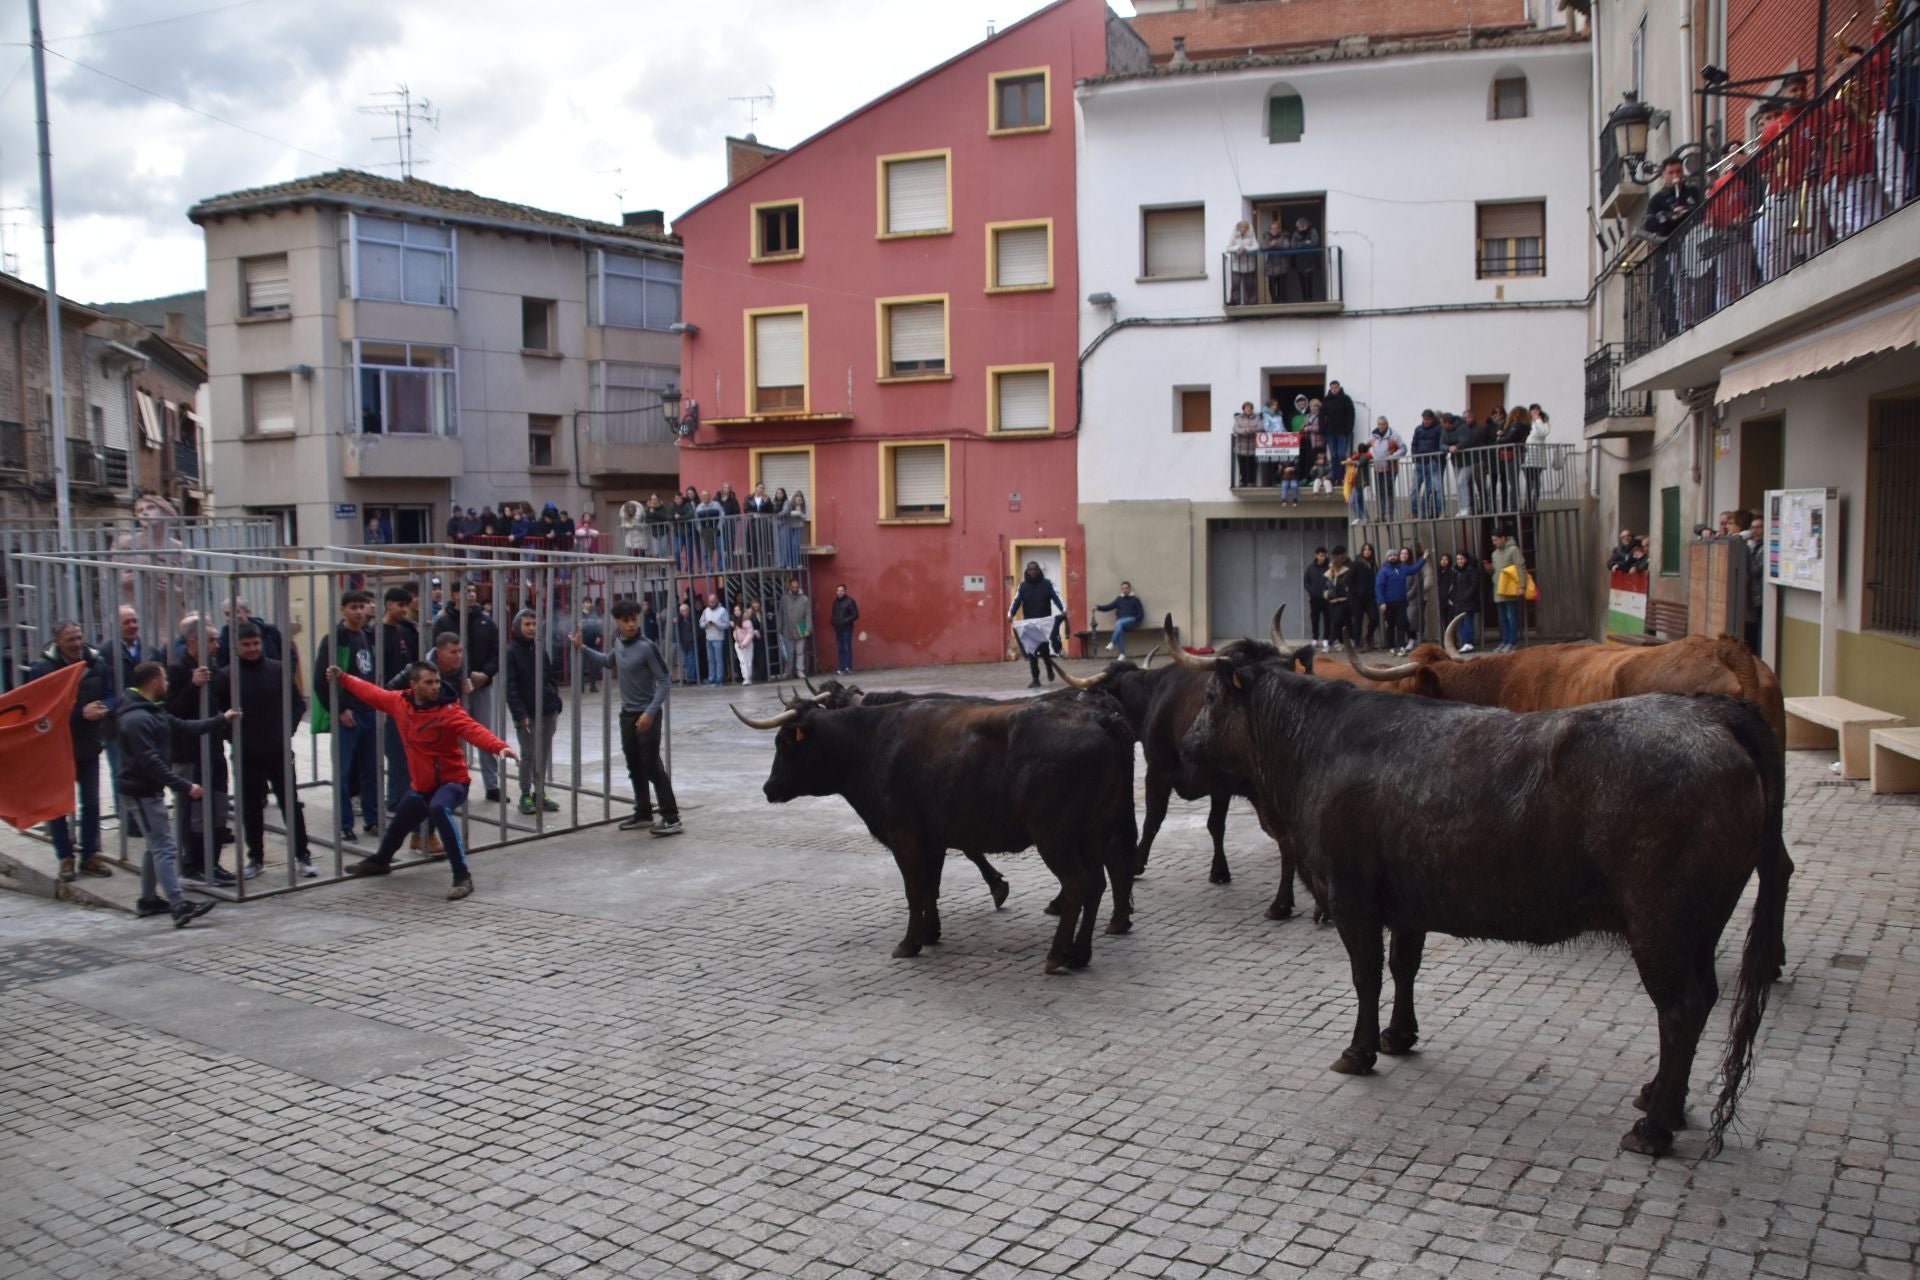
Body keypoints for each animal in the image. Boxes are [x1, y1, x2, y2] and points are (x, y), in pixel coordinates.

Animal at [725, 694, 1128, 974]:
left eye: (784, 742)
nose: (769, 788)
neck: (871, 743)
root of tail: (1099, 717)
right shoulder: (932, 839)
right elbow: (930, 887)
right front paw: (930, 933)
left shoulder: (905, 837)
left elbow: (914, 890)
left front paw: (908, 943)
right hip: (1094, 833)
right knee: (1095, 885)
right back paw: (1080, 954)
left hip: (1055, 837)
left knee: (1077, 884)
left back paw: (1058, 955)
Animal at [1182, 656, 1781, 1159]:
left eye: (1210, 696)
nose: (1186, 744)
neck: (1316, 745)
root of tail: (1708, 711)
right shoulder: (1408, 903)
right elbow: (1404, 966)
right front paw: (1398, 1037)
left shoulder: (1352, 897)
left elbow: (1366, 976)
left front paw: (1359, 1051)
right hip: (1699, 925)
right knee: (1702, 999)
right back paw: (1663, 1099)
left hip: (1660, 922)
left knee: (1679, 1009)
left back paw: (1653, 1128)